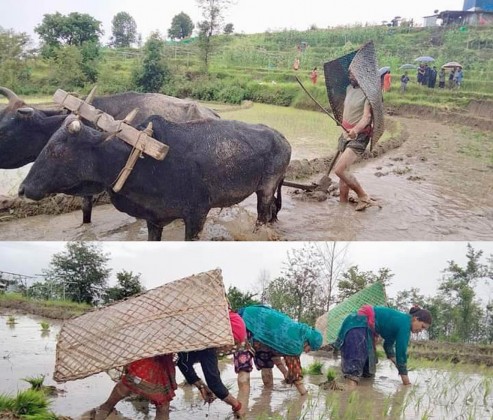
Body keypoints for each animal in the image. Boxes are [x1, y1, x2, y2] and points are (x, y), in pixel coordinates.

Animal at [19, 114, 290, 240]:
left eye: (57, 150)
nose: (22, 189)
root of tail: (282, 138)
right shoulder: (154, 220)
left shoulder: (196, 214)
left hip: (266, 188)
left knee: (263, 214)